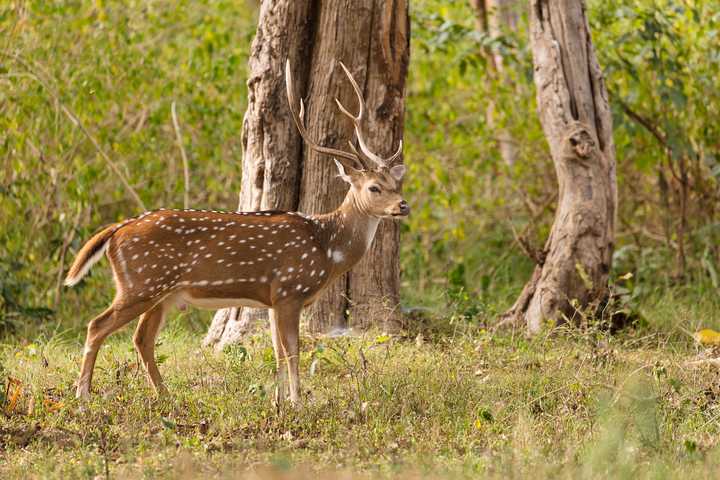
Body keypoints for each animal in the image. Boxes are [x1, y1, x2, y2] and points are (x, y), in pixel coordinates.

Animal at [64, 60, 408, 404]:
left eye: (396, 183)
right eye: (374, 187)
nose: (403, 205)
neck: (327, 247)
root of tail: (116, 230)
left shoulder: (273, 299)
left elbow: (278, 352)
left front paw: (278, 401)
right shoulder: (290, 289)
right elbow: (292, 351)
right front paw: (297, 402)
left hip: (162, 292)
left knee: (141, 338)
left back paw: (165, 394)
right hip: (141, 283)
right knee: (97, 325)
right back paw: (84, 393)